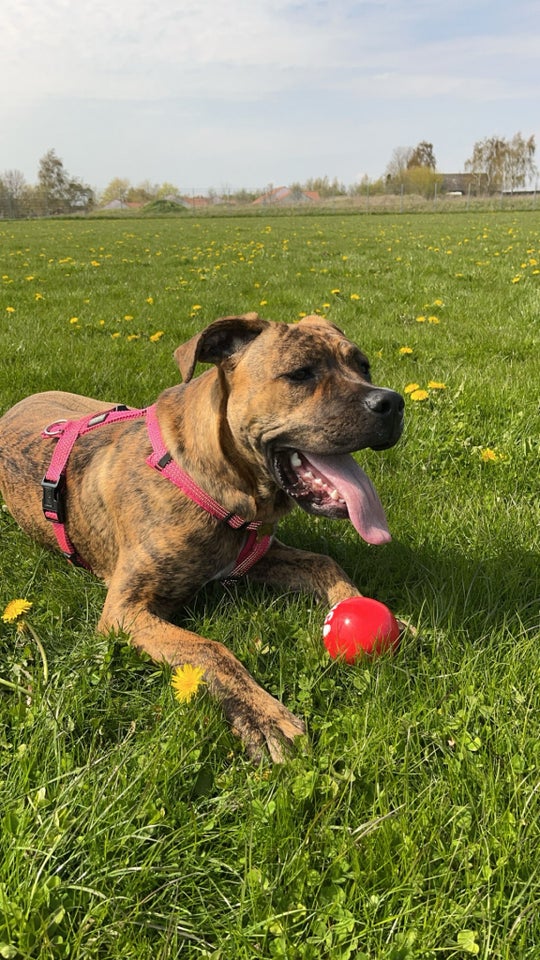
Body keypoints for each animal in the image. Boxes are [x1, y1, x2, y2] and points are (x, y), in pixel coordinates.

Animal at [0, 314, 404, 756]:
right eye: (300, 373)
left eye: (364, 366)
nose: (392, 403)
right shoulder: (125, 610)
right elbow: (209, 649)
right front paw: (265, 715)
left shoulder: (259, 554)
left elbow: (325, 563)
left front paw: (384, 615)